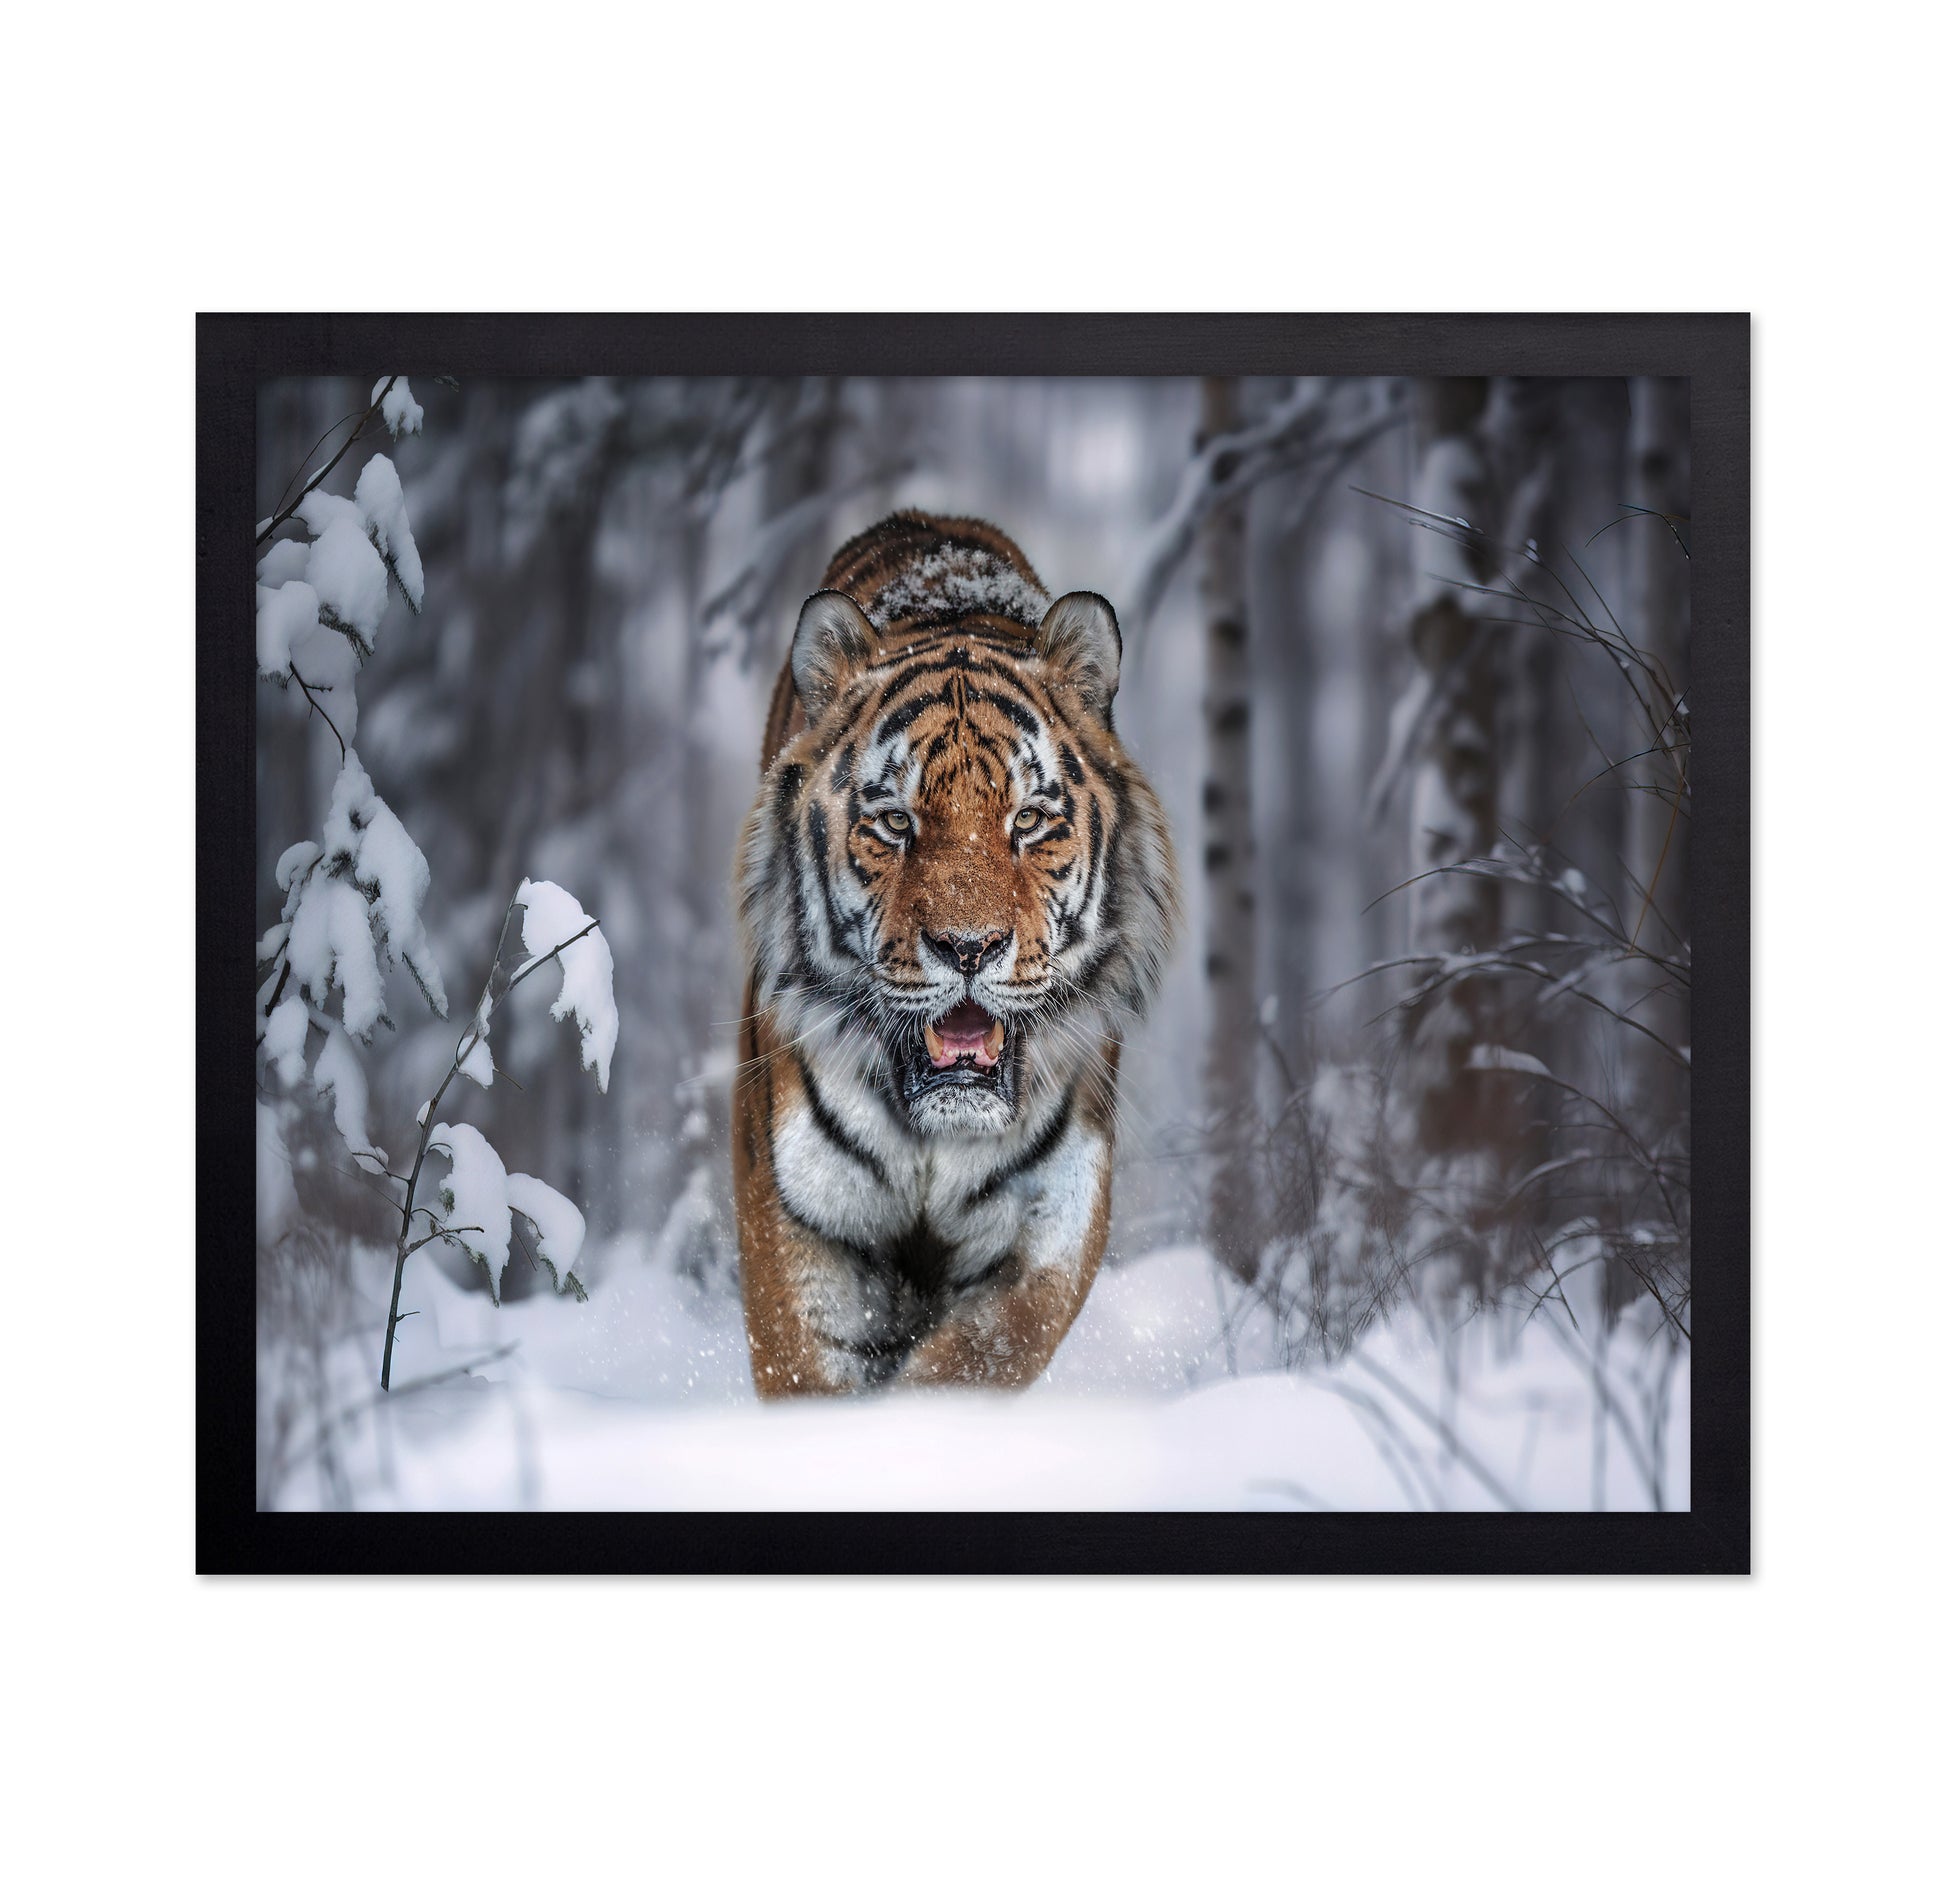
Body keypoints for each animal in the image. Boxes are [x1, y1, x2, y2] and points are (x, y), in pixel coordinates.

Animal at [732, 511, 1179, 1396]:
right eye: (895, 822)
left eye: (1029, 820)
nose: (968, 947)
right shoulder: (795, 1210)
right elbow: (806, 1372)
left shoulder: (1050, 1222)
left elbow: (971, 1364)